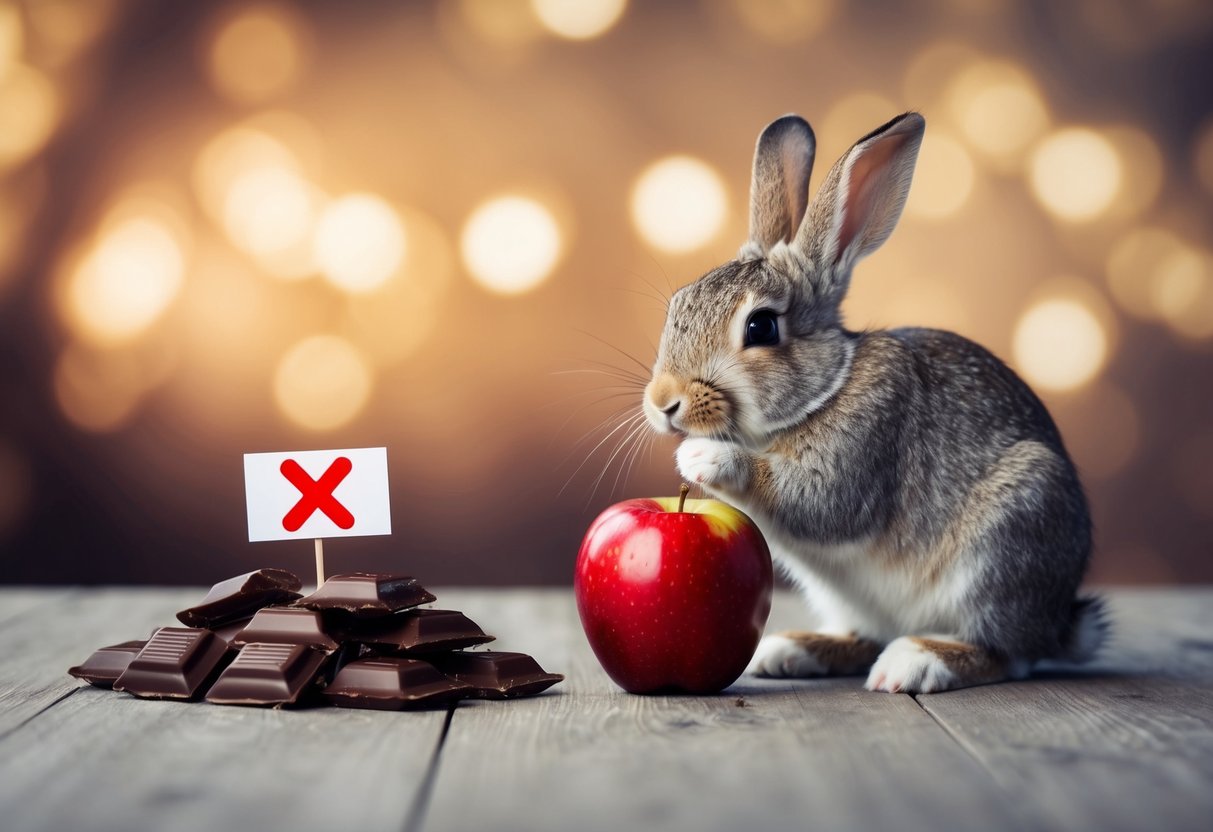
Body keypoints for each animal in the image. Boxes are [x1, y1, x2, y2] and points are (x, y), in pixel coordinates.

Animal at [641, 111, 1106, 693]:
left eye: (761, 326)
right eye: (678, 304)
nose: (663, 402)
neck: (825, 389)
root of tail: (1061, 622)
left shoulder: (862, 448)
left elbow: (815, 499)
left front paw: (702, 457)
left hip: (1007, 541)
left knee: (1006, 653)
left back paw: (916, 662)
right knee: (866, 637)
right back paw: (791, 650)